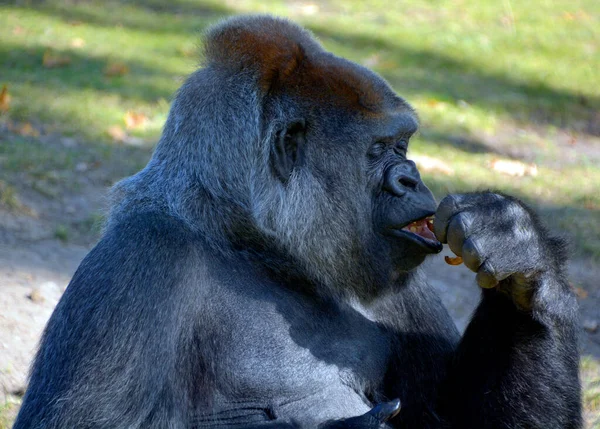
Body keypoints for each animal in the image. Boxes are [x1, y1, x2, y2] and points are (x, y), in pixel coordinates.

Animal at [12, 15, 580, 426]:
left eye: (404, 147)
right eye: (381, 150)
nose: (412, 178)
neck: (242, 239)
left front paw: (522, 256)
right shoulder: (141, 256)